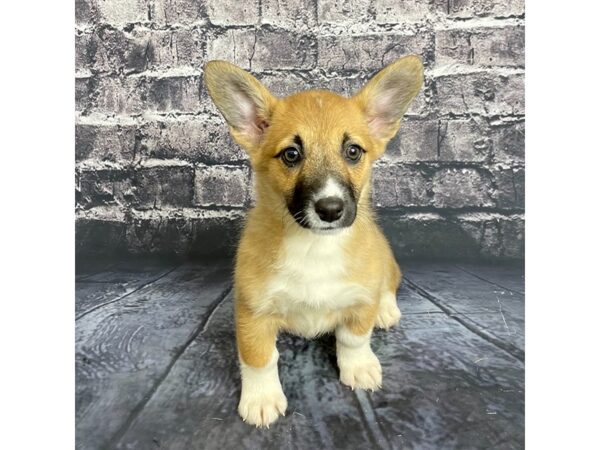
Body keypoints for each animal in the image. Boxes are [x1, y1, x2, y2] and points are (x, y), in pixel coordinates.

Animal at [204, 54, 424, 428]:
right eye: (291, 155)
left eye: (353, 151)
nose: (331, 209)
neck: (313, 246)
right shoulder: (253, 312)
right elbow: (259, 358)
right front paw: (261, 399)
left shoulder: (359, 301)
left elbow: (353, 338)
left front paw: (359, 367)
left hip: (387, 262)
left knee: (389, 285)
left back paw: (386, 310)